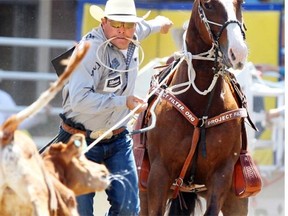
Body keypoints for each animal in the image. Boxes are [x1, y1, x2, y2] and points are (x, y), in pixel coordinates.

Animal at [138, 0, 255, 216]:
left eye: (241, 3)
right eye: (208, 5)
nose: (238, 52)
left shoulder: (222, 174)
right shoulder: (159, 174)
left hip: (236, 199)